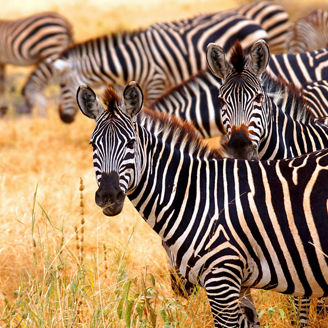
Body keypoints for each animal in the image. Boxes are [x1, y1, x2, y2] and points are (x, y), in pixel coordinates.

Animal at [75, 80, 328, 328]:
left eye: (131, 143)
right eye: (92, 145)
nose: (109, 196)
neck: (197, 196)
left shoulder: (221, 278)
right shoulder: (240, 285)